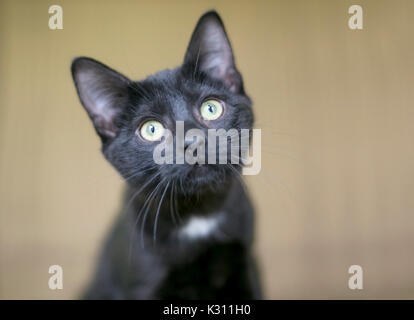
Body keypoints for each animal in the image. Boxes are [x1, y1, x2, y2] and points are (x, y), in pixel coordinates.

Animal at [69, 10, 260, 300]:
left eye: (211, 108)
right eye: (151, 129)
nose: (193, 141)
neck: (198, 215)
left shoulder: (246, 269)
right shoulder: (142, 284)